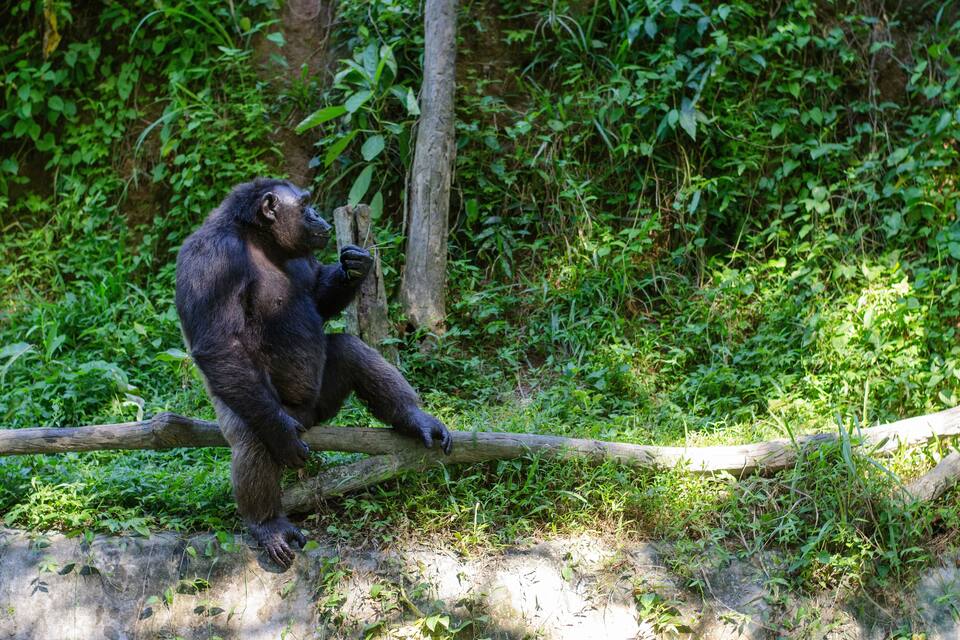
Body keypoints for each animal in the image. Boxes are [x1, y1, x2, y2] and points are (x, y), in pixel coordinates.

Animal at [175, 178, 452, 567]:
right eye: (305, 204)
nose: (319, 214)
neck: (261, 239)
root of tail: (307, 417)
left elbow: (319, 296)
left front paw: (356, 266)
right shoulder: (211, 261)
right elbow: (218, 341)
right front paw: (280, 435)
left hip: (323, 403)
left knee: (349, 349)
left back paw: (415, 419)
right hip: (256, 405)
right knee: (252, 438)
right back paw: (268, 524)